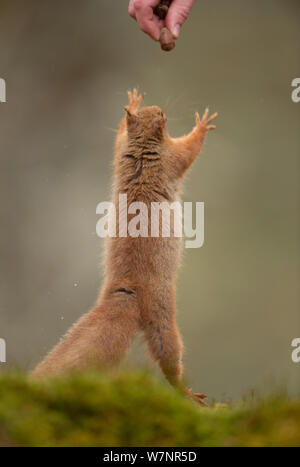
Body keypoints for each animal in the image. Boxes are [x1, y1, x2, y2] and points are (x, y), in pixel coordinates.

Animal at [31, 89, 217, 404]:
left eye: (152, 113)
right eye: (161, 117)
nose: (159, 108)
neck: (140, 147)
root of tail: (124, 290)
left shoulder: (120, 149)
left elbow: (117, 136)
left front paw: (132, 101)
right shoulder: (172, 158)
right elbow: (190, 149)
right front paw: (203, 124)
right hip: (162, 317)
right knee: (168, 359)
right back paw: (189, 393)